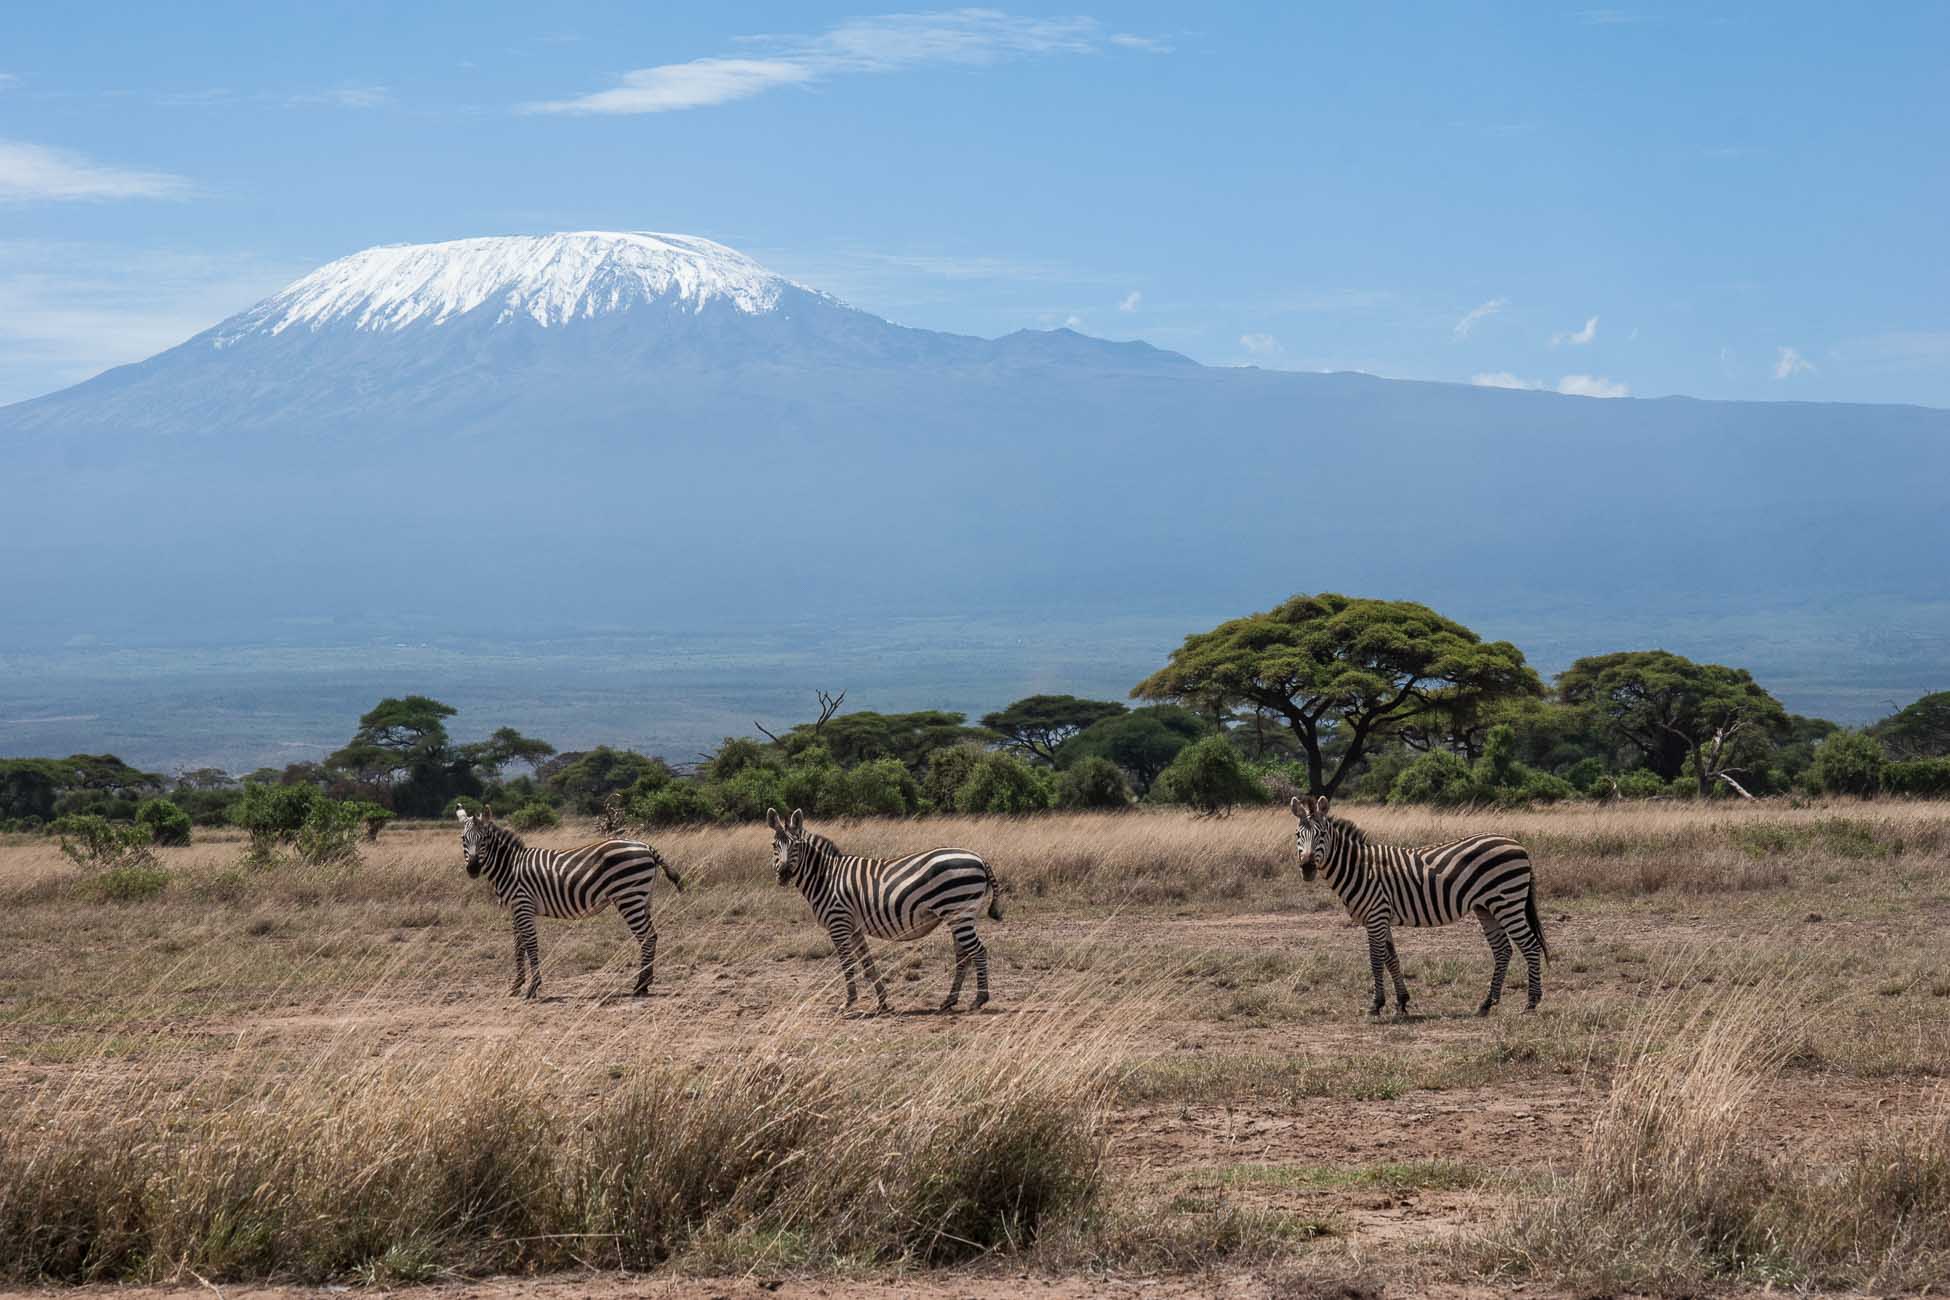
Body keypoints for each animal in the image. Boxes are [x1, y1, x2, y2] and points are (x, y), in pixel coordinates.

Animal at [456, 806, 686, 1005]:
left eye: (485, 838)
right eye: (463, 839)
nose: (473, 868)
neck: (510, 867)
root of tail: (646, 847)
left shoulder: (523, 905)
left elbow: (531, 945)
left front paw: (532, 988)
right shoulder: (516, 909)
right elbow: (518, 945)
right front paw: (516, 985)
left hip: (628, 897)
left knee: (646, 937)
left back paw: (639, 986)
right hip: (643, 898)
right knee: (653, 935)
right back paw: (645, 984)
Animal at [764, 802, 1006, 1013]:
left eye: (796, 846)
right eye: (774, 845)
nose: (783, 874)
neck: (825, 877)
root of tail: (979, 858)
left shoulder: (838, 923)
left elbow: (847, 964)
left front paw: (848, 1002)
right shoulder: (854, 927)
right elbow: (868, 964)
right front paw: (883, 1002)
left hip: (959, 911)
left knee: (978, 951)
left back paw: (979, 999)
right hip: (958, 915)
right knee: (963, 956)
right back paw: (949, 1001)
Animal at [1287, 795, 1544, 1013]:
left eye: (1321, 835)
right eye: (1298, 835)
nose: (1307, 868)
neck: (1360, 869)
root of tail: (1518, 845)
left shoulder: (1376, 915)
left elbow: (1376, 959)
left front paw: (1376, 1004)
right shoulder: (1381, 916)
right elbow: (1391, 958)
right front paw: (1401, 1001)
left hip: (1508, 902)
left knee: (1530, 945)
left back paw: (1531, 1003)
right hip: (1486, 907)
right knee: (1503, 950)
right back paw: (1486, 1003)